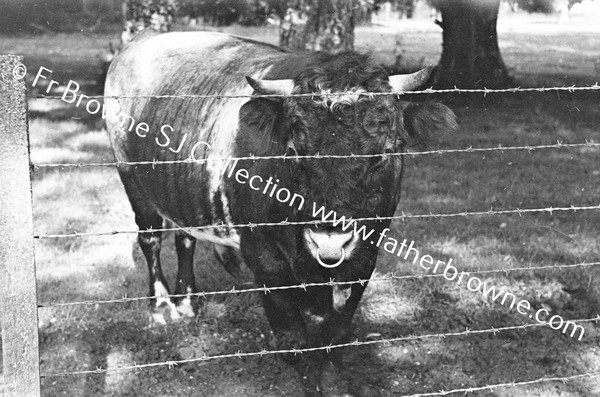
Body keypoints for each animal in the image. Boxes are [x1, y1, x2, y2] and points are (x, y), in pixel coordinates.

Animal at [105, 32, 458, 394]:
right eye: (293, 152)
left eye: (384, 153)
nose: (329, 238)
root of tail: (138, 43)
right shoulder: (263, 255)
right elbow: (293, 337)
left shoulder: (366, 254)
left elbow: (336, 334)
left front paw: (334, 380)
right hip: (131, 177)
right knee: (151, 239)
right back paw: (161, 306)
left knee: (185, 239)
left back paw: (187, 301)